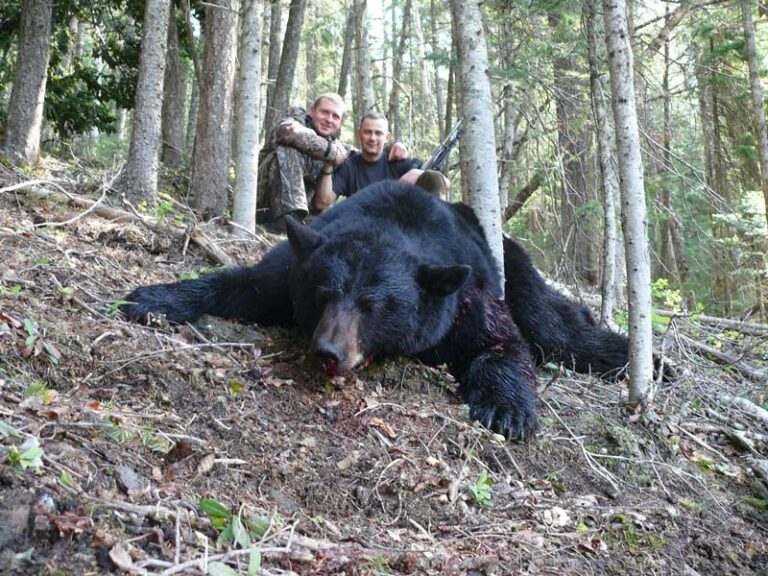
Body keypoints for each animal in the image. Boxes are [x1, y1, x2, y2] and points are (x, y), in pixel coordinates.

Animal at [124, 182, 632, 438]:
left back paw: (630, 354)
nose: (328, 352)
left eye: (373, 306)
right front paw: (154, 298)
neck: (389, 224)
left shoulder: (461, 297)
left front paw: (506, 410)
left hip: (514, 262)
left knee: (552, 324)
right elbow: (238, 283)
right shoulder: (292, 269)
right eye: (323, 294)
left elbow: (501, 341)